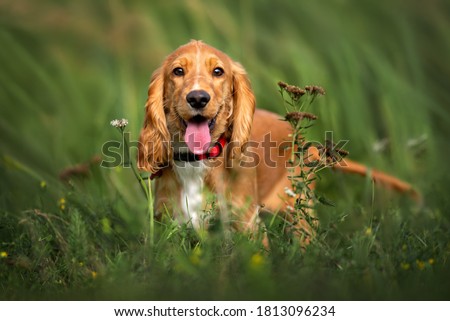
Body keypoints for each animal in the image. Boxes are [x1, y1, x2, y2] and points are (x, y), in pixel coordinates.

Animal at [137, 39, 418, 240]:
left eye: (218, 71)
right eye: (178, 71)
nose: (197, 98)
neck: (197, 162)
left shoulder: (246, 228)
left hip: (300, 213)